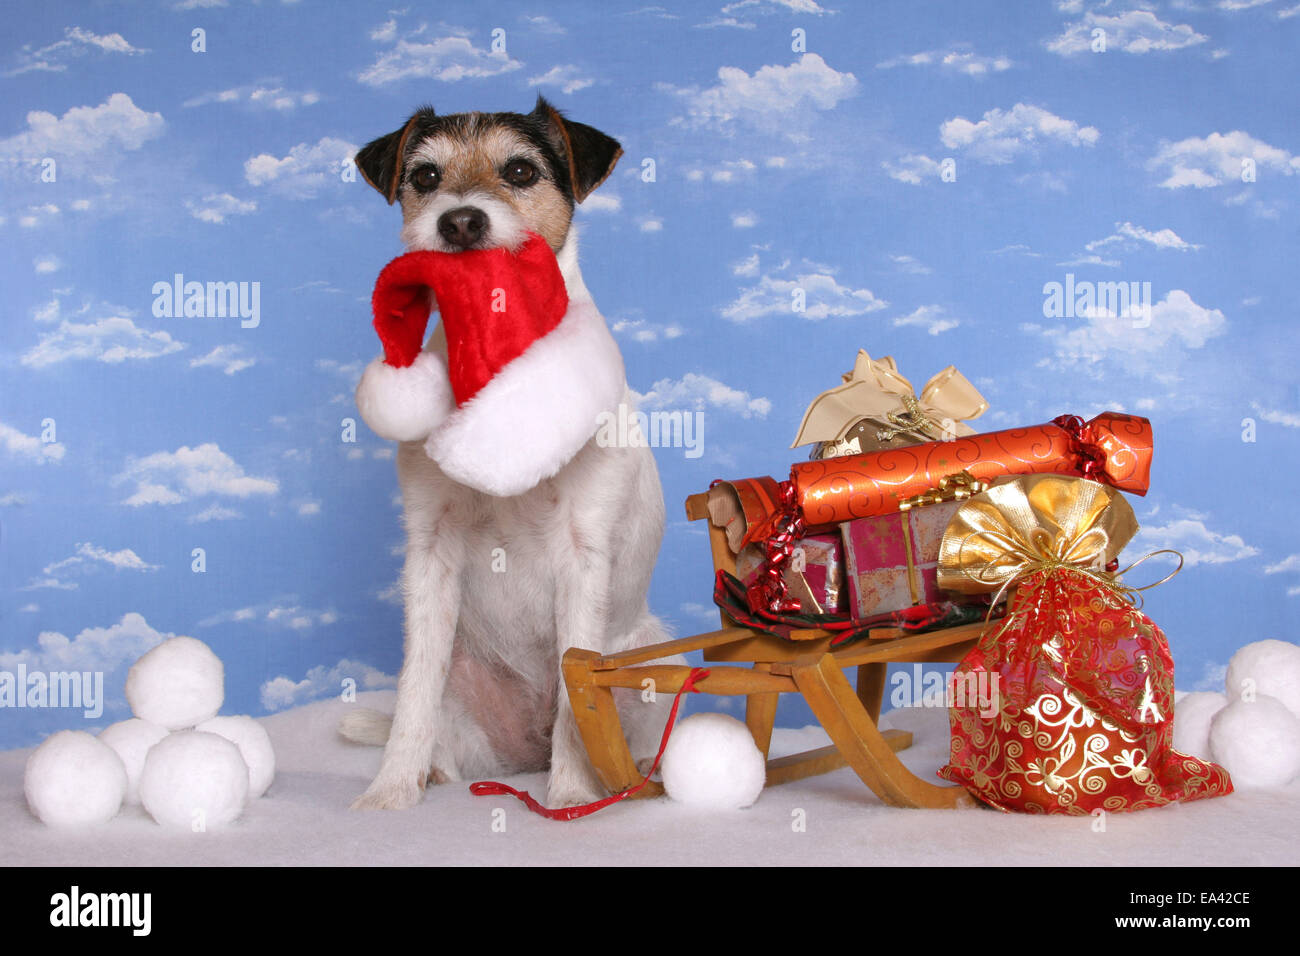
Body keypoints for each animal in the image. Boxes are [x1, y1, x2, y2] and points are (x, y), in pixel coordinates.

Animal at [340, 97, 676, 811]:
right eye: (426, 176)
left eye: (520, 170)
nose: (460, 220)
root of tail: (524, 751)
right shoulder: (430, 551)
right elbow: (413, 690)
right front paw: (389, 791)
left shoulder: (583, 553)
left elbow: (579, 696)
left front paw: (572, 793)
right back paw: (431, 772)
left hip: (654, 661)